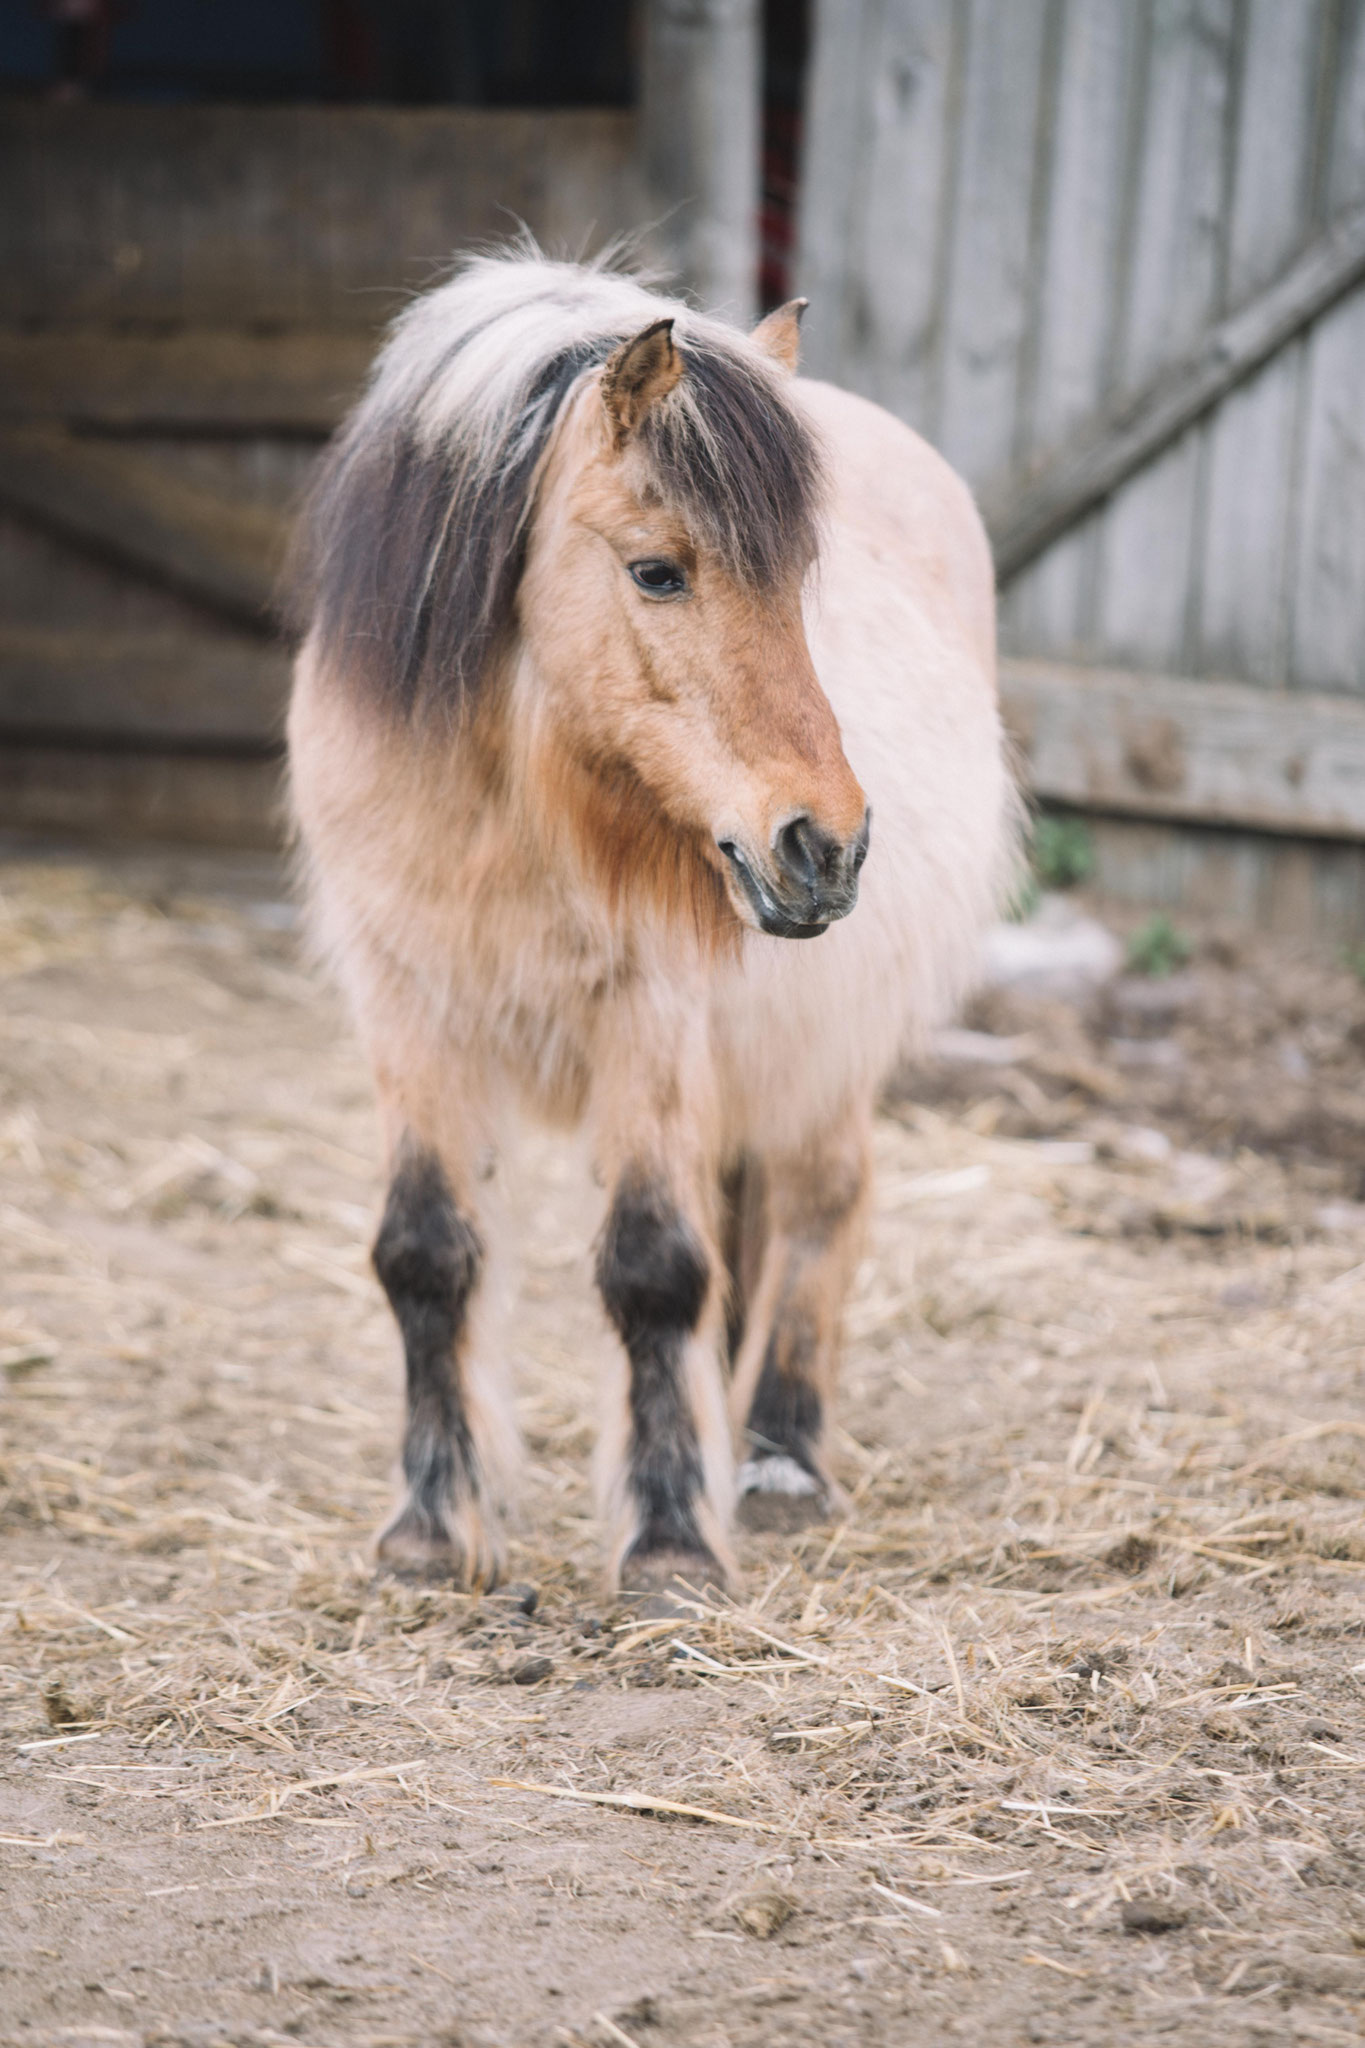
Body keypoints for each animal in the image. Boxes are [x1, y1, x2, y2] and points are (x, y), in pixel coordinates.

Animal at [288, 247, 1015, 1597]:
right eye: (656, 570)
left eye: (802, 584)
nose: (825, 844)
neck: (517, 804)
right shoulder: (407, 1002)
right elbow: (424, 1252)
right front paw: (431, 1527)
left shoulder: (653, 1015)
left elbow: (655, 1269)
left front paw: (672, 1539)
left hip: (828, 1046)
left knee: (824, 1197)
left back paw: (778, 1458)